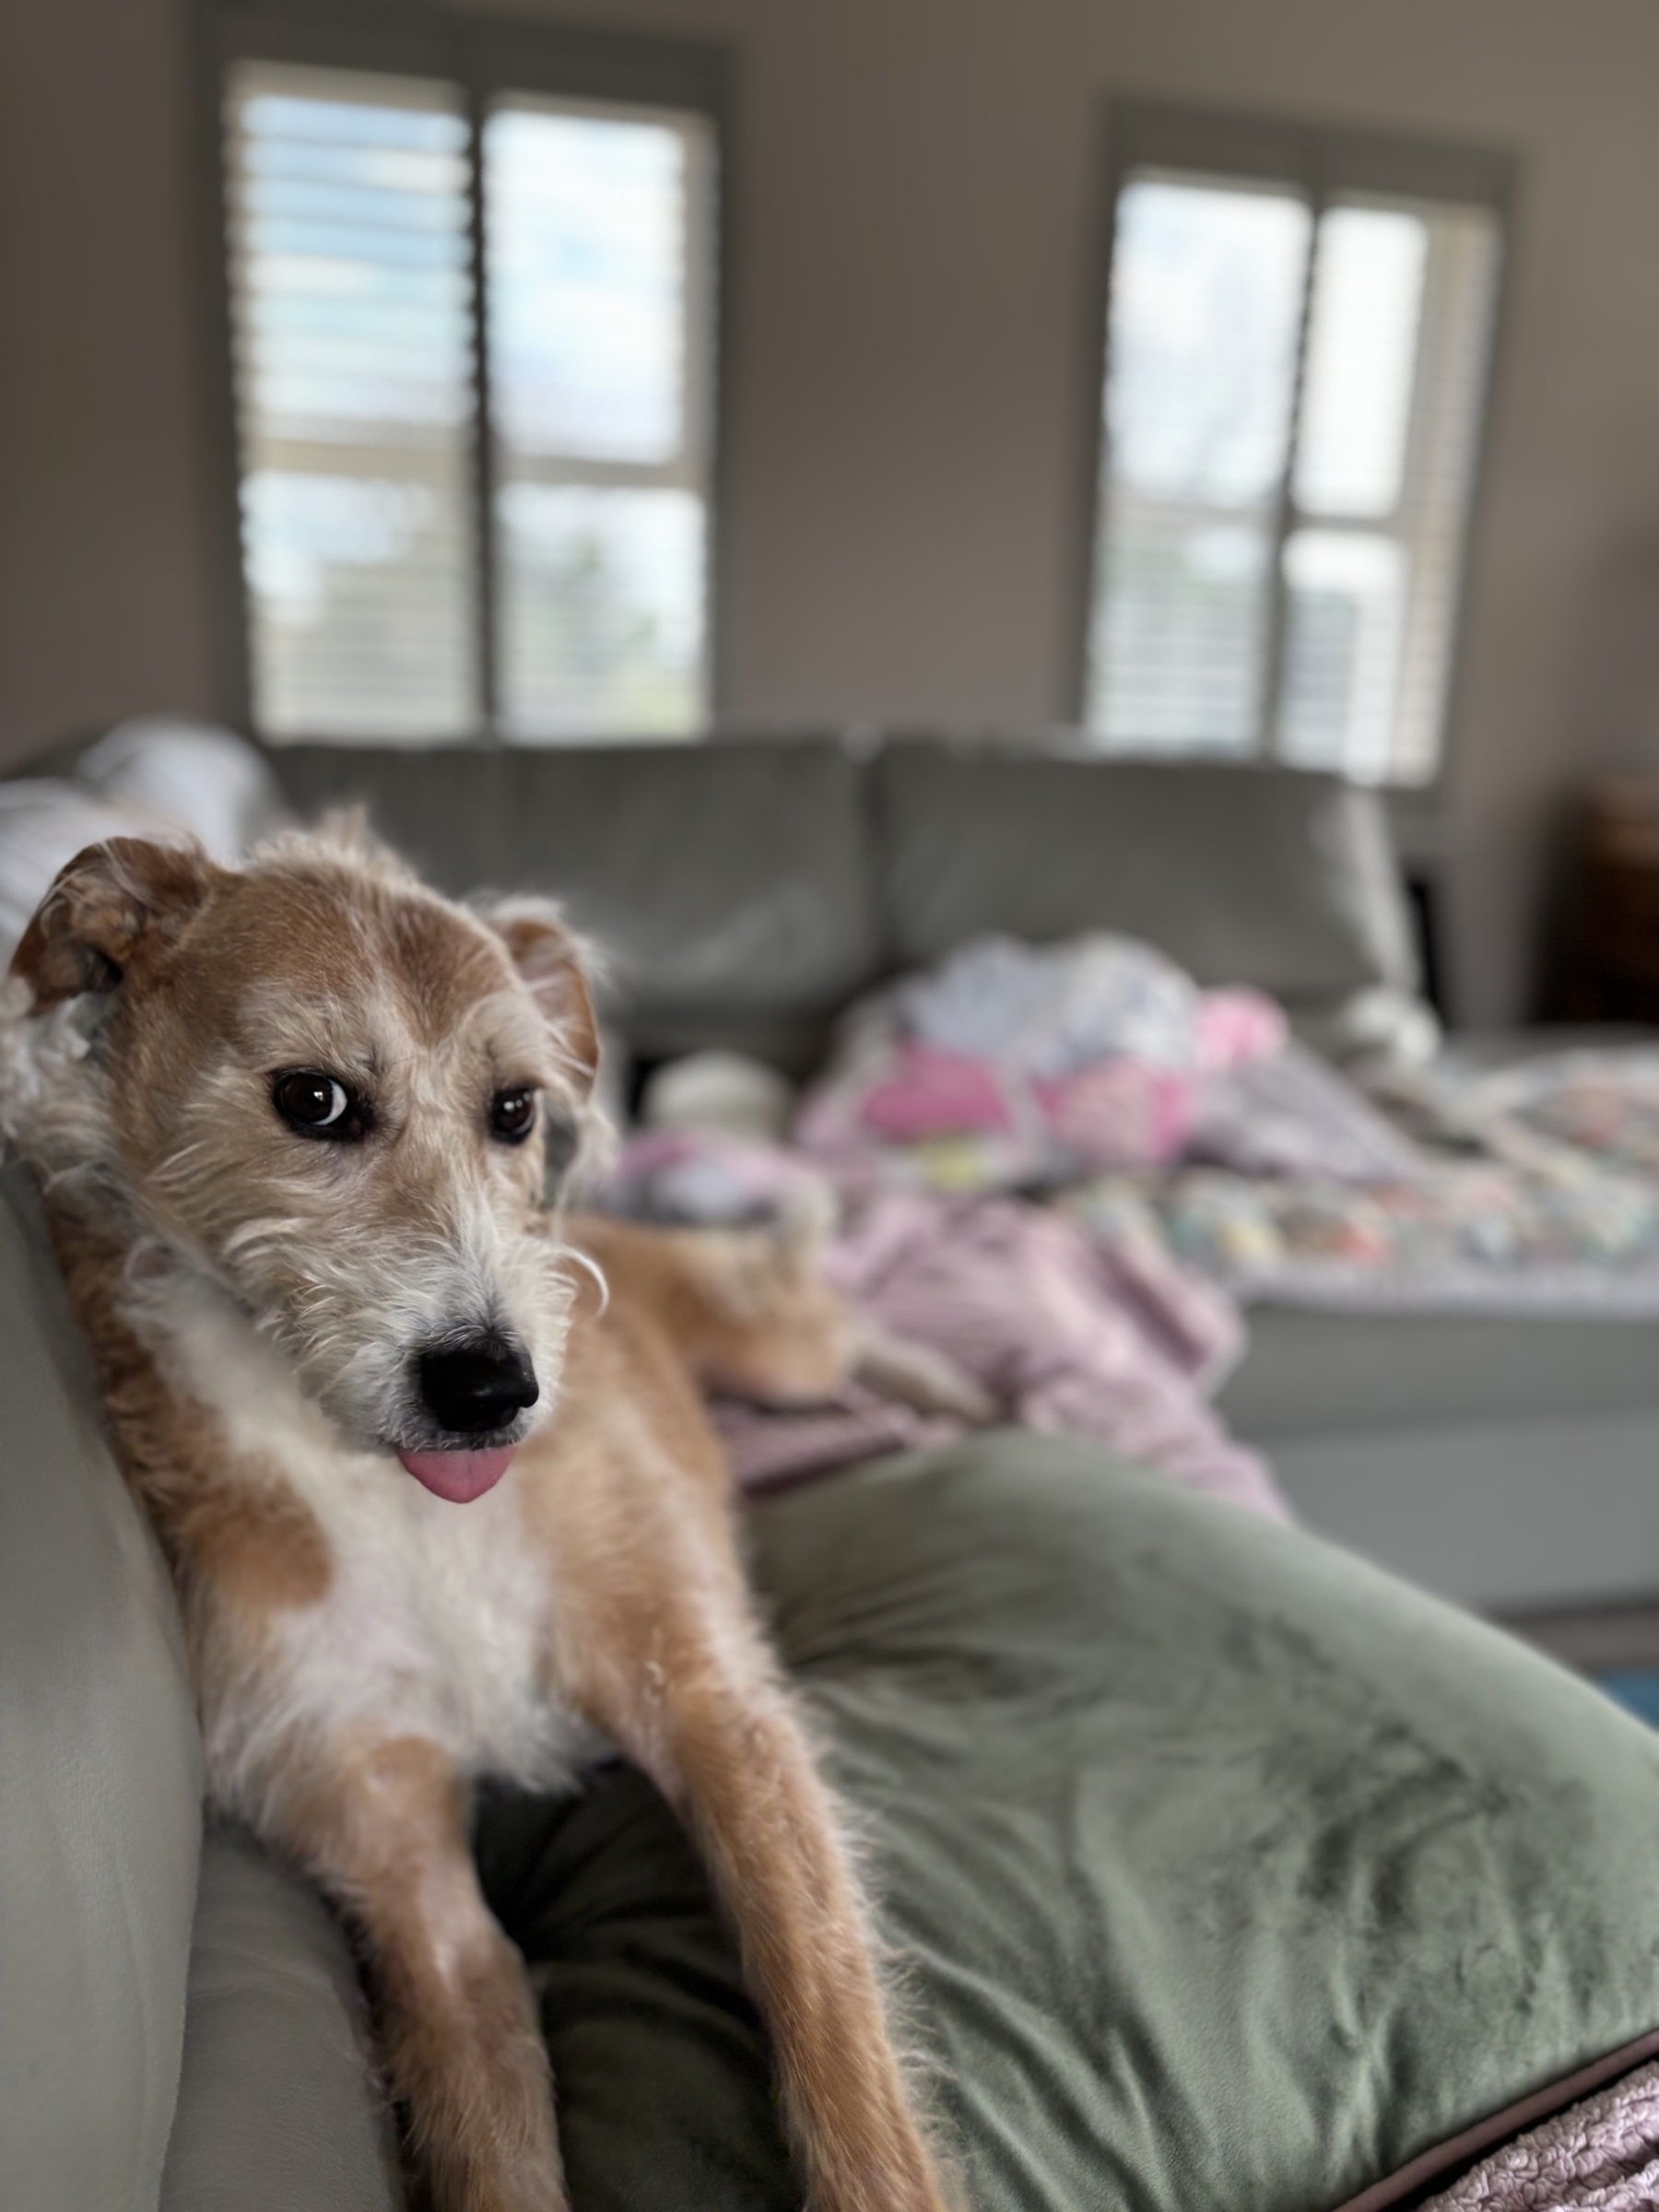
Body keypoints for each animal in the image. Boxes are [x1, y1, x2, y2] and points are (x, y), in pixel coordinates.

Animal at [0, 827, 955, 2212]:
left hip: (771, 1353)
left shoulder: (714, 1706)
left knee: (838, 1320)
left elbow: (827, 2010)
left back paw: (954, 1389)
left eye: (514, 1110)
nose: (498, 1390)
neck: (394, 1494)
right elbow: (491, 2132)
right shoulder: (408, 1880)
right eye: (314, 1100)